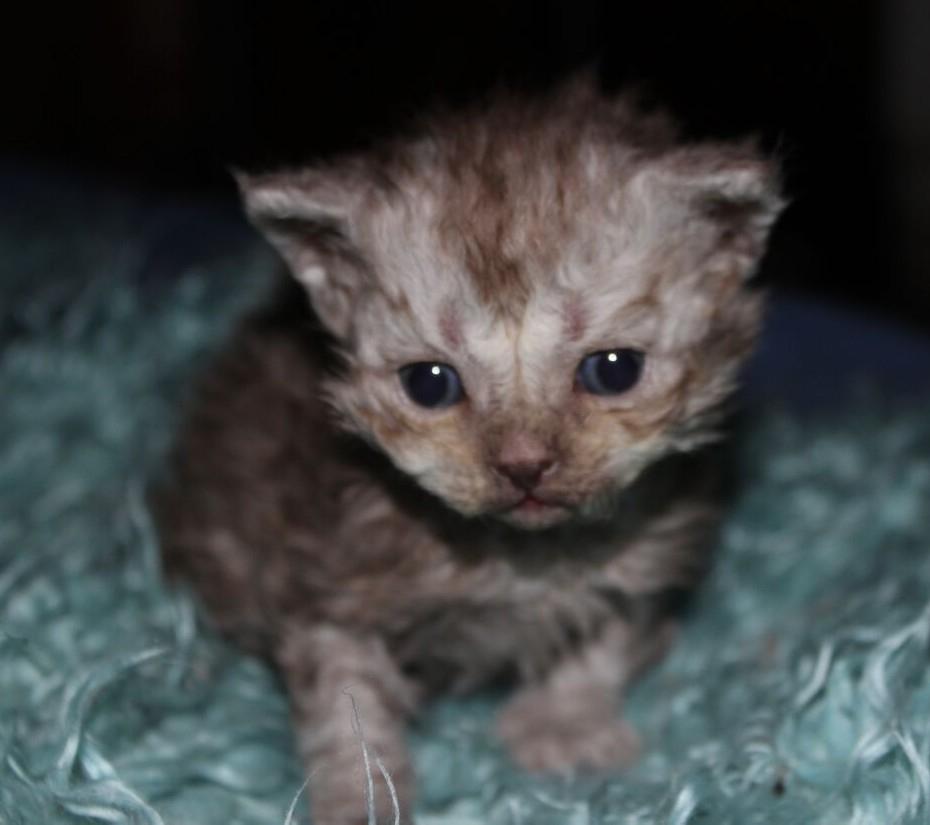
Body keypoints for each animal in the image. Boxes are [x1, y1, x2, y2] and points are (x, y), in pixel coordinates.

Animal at [156, 79, 780, 824]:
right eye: (430, 383)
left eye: (614, 370)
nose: (523, 464)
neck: (520, 557)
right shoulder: (322, 573)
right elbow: (346, 700)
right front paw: (358, 795)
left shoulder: (645, 554)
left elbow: (602, 637)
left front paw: (565, 729)